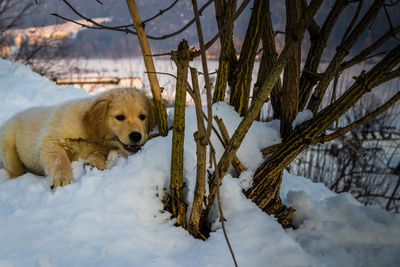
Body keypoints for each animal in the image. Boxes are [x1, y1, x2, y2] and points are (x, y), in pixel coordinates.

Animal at [0, 88, 155, 188]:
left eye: (142, 117)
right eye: (120, 117)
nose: (136, 135)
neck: (90, 133)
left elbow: (99, 153)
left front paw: (94, 162)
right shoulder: (52, 141)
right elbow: (59, 159)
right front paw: (62, 179)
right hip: (8, 146)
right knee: (14, 170)